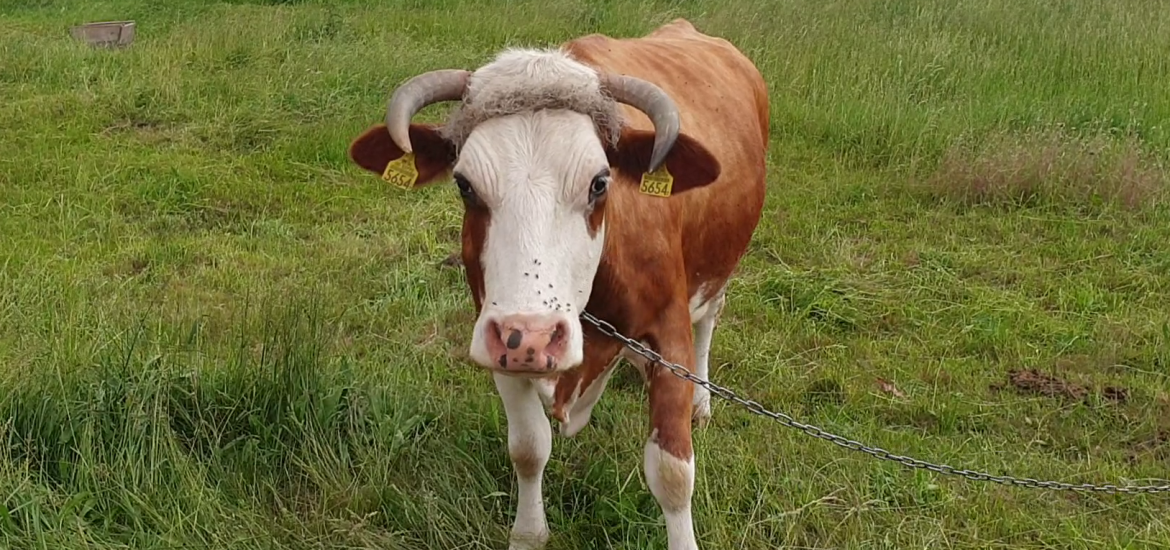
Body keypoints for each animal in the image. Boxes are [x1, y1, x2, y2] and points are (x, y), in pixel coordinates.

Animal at [346, 18, 767, 550]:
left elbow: (672, 474)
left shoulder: (670, 335)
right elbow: (528, 448)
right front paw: (528, 533)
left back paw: (703, 401)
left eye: (600, 183)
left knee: (710, 317)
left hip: (718, 268)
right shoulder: (500, 339)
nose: (536, 337)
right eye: (464, 185)